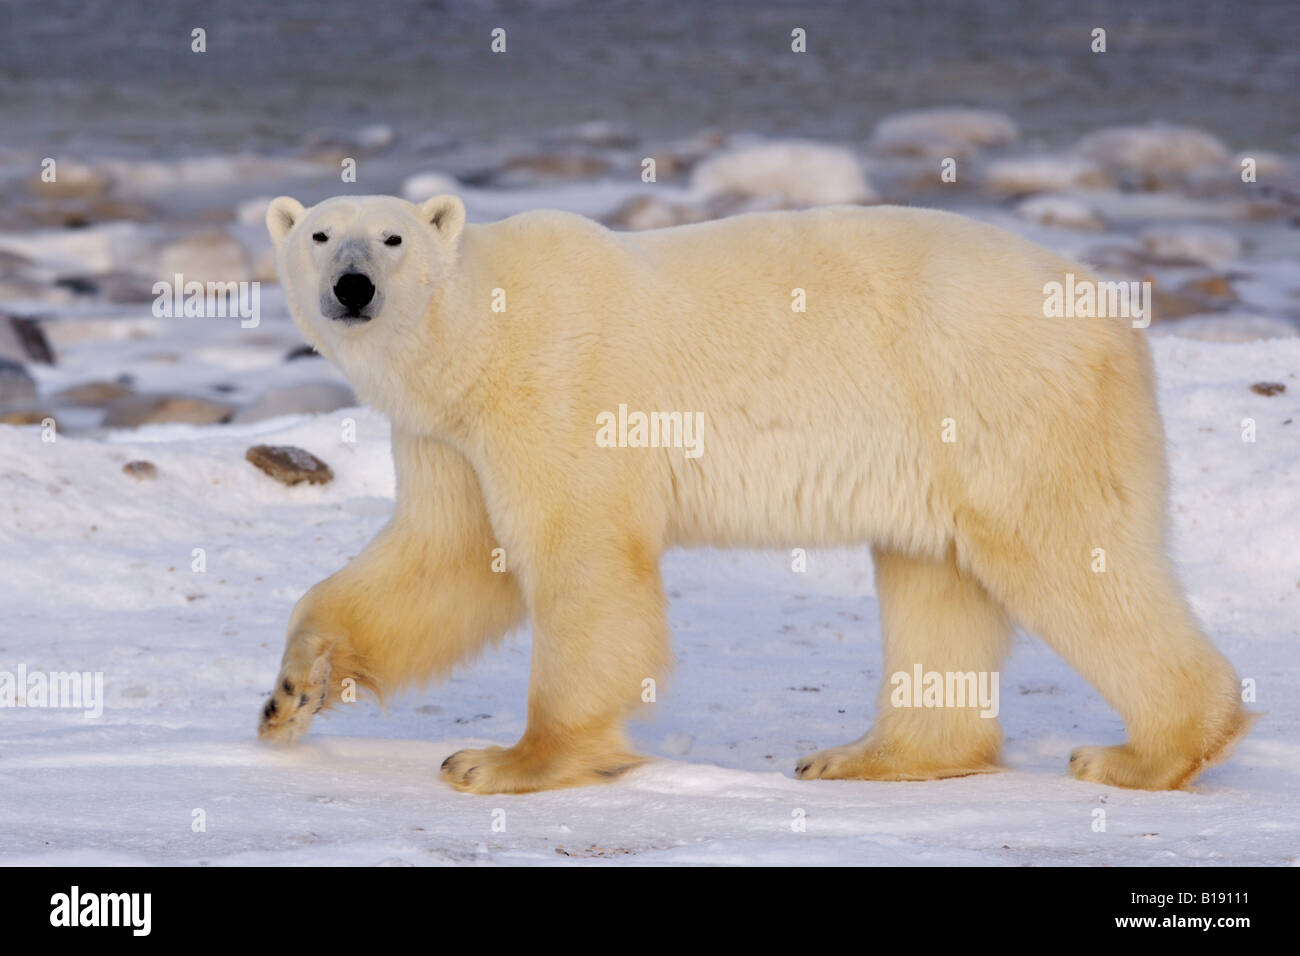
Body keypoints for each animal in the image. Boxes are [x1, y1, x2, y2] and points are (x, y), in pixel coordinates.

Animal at [261, 192, 1248, 790]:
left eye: (393, 238)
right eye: (319, 235)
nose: (354, 286)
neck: (479, 333)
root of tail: (1113, 311)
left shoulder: (557, 392)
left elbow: (578, 560)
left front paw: (502, 762)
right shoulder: (446, 438)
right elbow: (453, 559)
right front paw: (291, 694)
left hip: (1004, 401)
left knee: (1070, 555)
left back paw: (1144, 753)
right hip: (941, 442)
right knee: (934, 576)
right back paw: (865, 756)